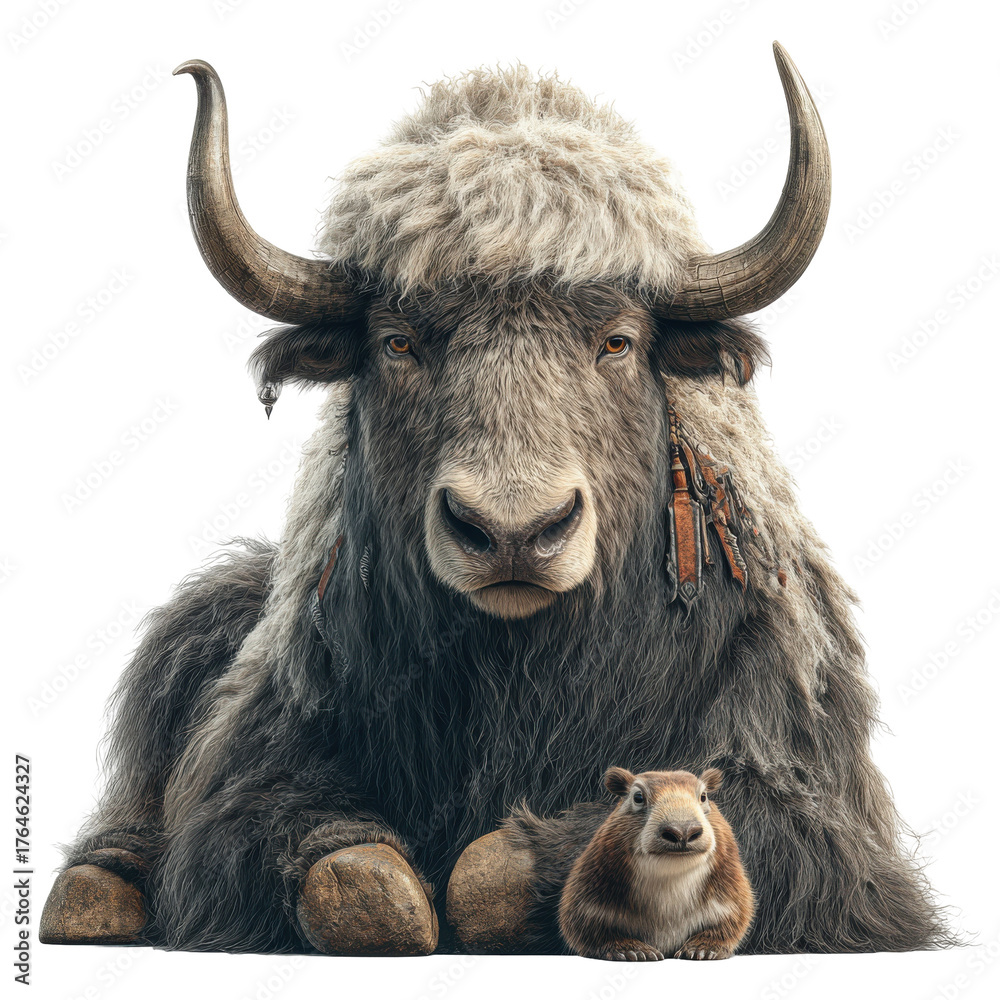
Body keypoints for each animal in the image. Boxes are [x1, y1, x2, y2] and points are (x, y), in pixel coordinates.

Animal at [41, 44, 949, 956]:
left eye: (616, 340)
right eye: (398, 341)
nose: (513, 533)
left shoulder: (802, 795)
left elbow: (499, 869)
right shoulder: (254, 760)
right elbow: (318, 854)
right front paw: (388, 895)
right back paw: (93, 890)